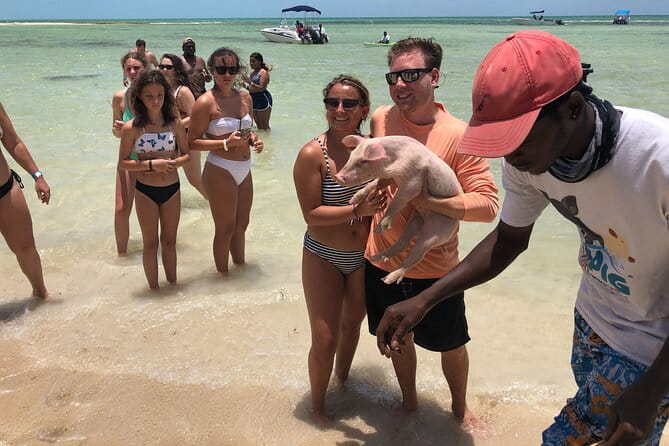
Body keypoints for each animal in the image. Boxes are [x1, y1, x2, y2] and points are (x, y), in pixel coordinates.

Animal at [335, 134, 462, 284]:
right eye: (351, 156)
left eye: (363, 161)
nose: (337, 176)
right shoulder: (389, 178)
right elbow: (375, 183)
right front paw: (353, 199)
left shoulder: (413, 183)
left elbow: (396, 203)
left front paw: (378, 230)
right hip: (416, 218)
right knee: (404, 242)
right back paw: (376, 258)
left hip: (438, 227)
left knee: (417, 253)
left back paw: (387, 279)